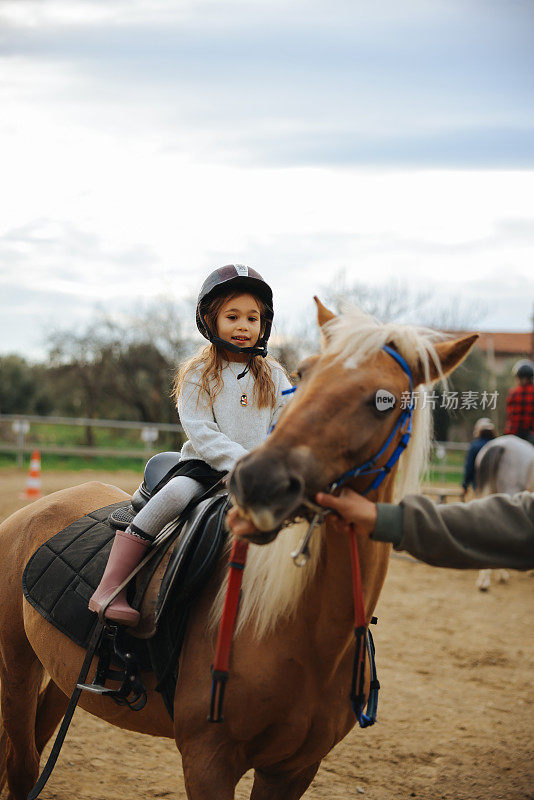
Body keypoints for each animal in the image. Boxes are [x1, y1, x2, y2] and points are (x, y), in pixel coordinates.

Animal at [0, 302, 478, 800]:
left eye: (384, 400)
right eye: (304, 374)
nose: (259, 481)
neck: (306, 637)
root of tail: (36, 509)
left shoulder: (294, 769)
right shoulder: (208, 761)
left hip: (62, 674)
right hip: (16, 664)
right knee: (22, 764)